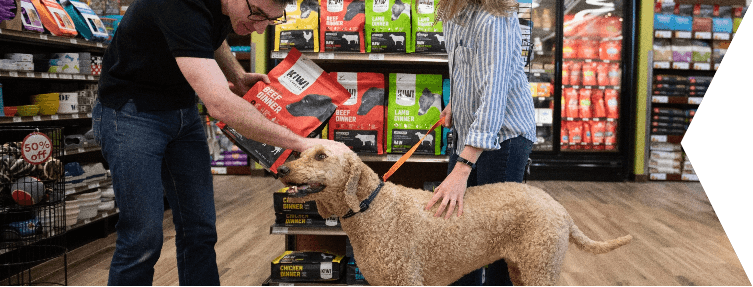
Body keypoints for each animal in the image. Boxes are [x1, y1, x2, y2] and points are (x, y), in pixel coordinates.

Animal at [276, 147, 628, 286]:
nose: (282, 169)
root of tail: (558, 207)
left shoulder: (406, 280)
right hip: (522, 268)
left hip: (541, 269)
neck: (373, 208)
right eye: (301, 153)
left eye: (321, 155)